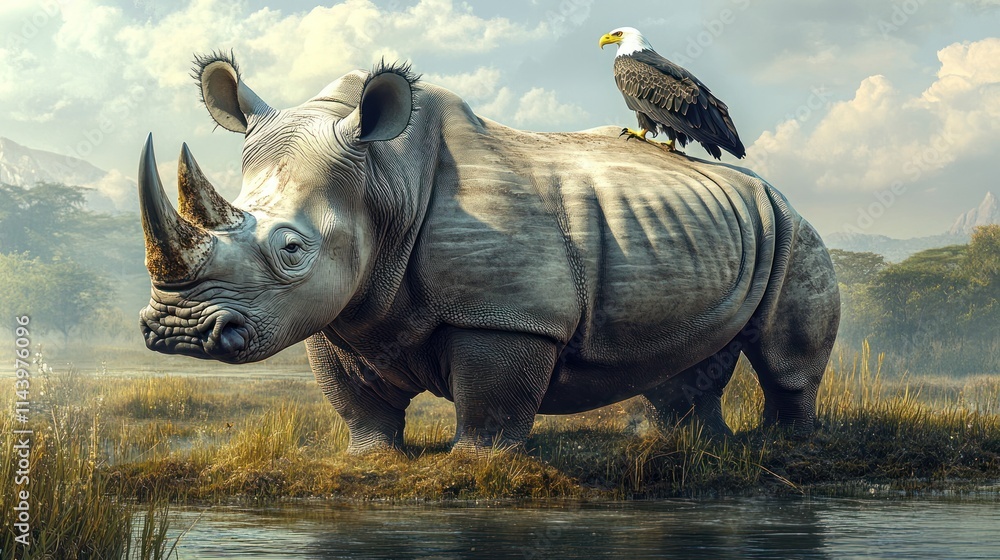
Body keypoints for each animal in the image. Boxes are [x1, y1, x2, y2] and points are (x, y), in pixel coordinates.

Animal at [138, 54, 840, 453]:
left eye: (291, 250)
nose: (177, 330)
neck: (385, 179)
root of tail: (765, 185)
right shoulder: (339, 313)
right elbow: (355, 401)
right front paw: (371, 460)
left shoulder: (509, 313)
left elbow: (492, 399)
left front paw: (478, 465)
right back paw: (684, 445)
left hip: (791, 225)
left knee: (787, 351)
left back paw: (788, 448)